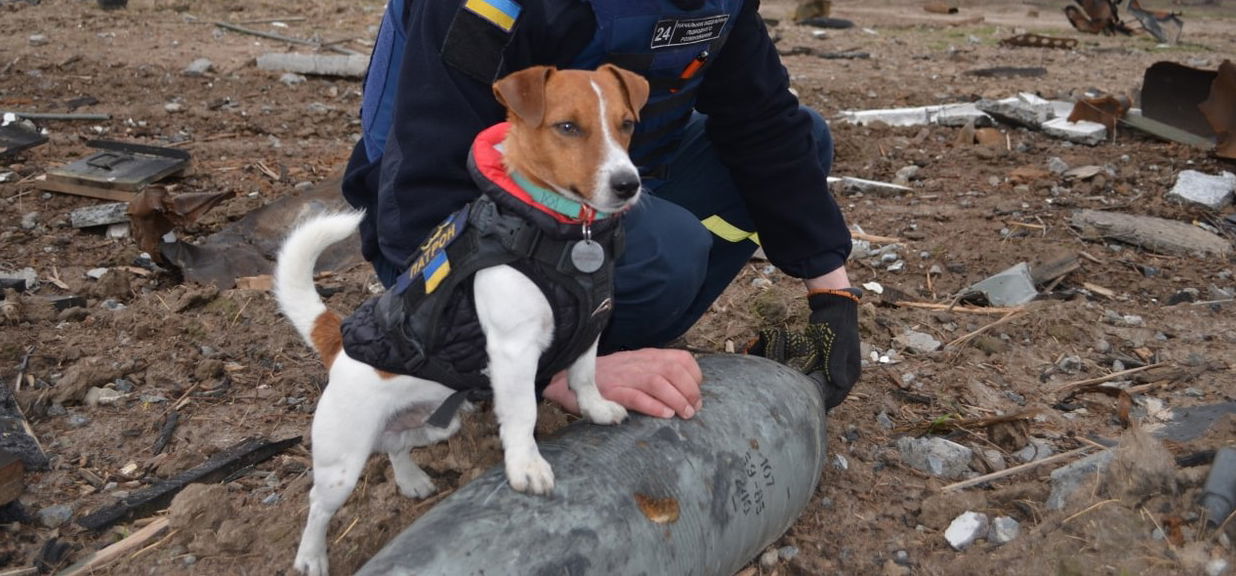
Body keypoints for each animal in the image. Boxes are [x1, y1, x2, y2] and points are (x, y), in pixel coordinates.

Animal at [276, 64, 652, 576]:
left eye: (627, 124)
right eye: (568, 127)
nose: (627, 184)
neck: (569, 233)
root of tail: (338, 343)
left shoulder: (592, 324)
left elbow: (585, 375)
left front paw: (595, 409)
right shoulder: (513, 351)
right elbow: (523, 413)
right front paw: (526, 466)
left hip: (437, 423)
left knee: (397, 444)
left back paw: (411, 479)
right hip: (342, 462)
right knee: (318, 504)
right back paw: (311, 556)